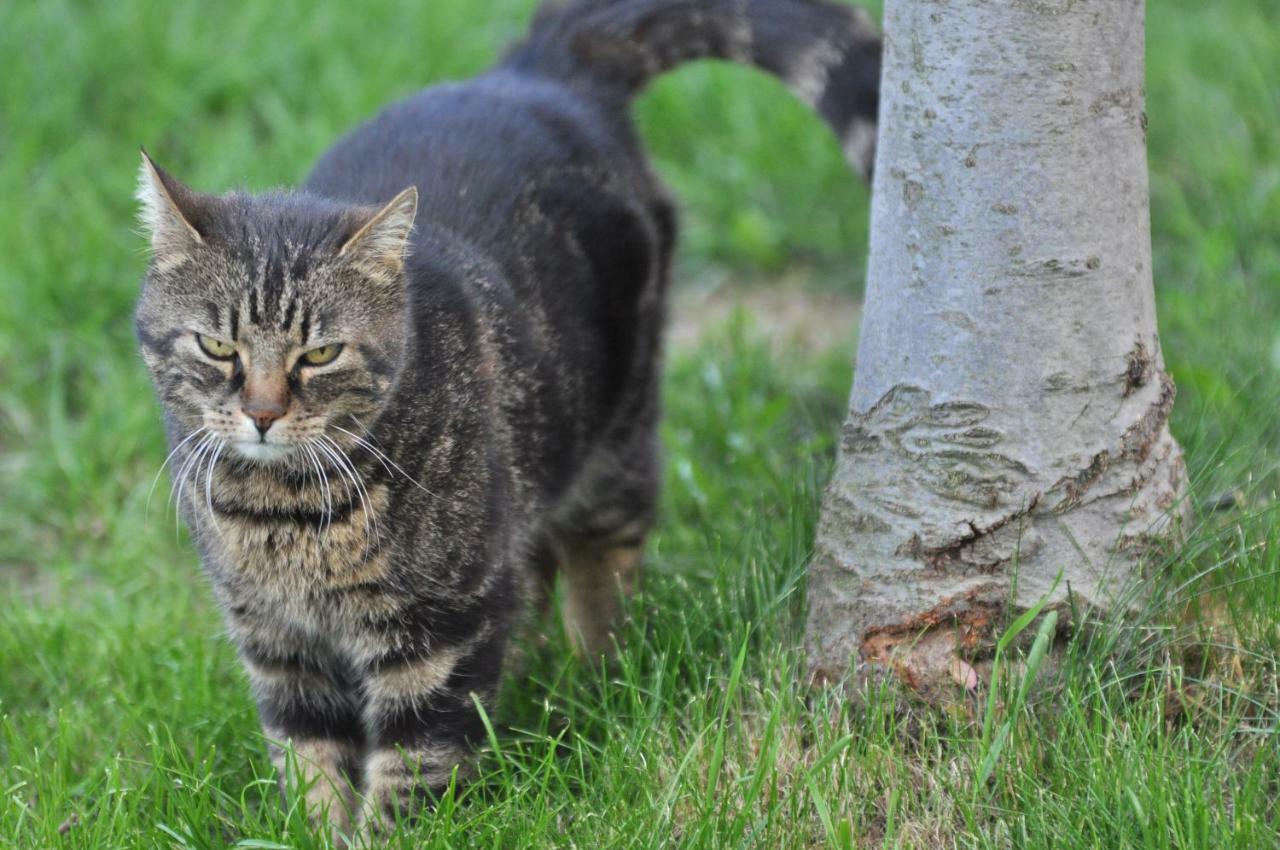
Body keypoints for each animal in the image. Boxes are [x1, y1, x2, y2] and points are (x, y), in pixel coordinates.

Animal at [137, 0, 880, 834]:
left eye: (320, 354)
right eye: (217, 345)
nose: (262, 412)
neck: (284, 515)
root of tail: (536, 71)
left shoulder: (441, 626)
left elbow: (412, 769)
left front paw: (391, 834)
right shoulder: (275, 638)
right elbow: (309, 761)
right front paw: (314, 830)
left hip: (613, 443)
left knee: (602, 560)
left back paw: (599, 678)